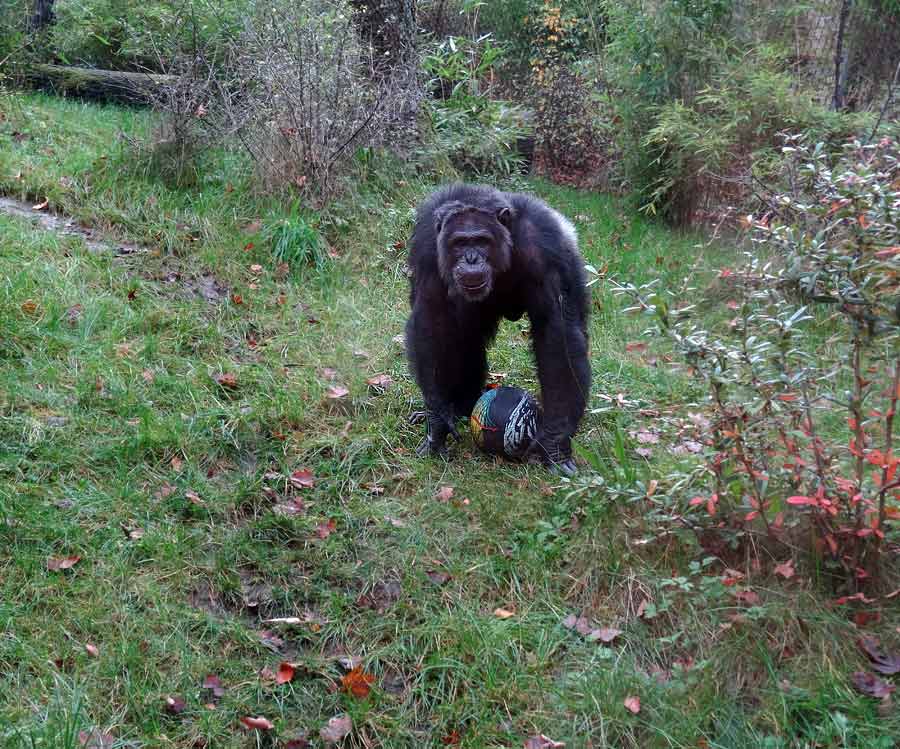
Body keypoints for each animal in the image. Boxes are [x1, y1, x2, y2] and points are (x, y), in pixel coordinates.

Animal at [406, 183, 592, 474]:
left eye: (482, 241)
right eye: (460, 243)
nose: (471, 258)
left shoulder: (546, 246)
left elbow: (557, 333)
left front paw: (554, 444)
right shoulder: (427, 245)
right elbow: (432, 317)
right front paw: (436, 421)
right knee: (464, 332)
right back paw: (458, 406)